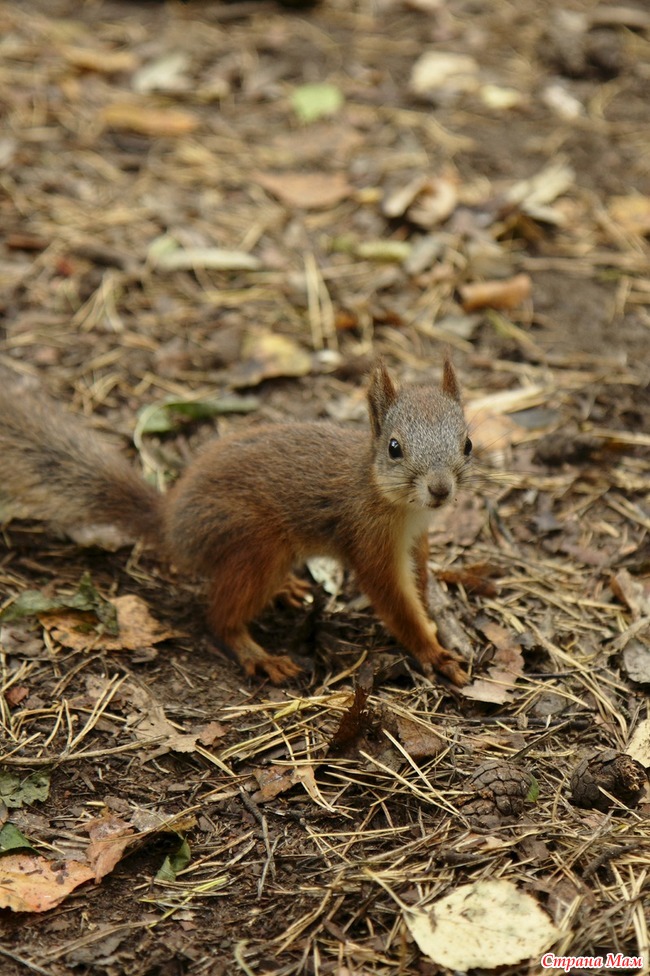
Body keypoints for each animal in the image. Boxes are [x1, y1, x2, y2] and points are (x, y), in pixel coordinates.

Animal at [0, 358, 470, 688]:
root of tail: (171, 526)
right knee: (219, 619)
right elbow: (394, 600)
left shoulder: (417, 539)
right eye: (394, 448)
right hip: (255, 544)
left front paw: (432, 614)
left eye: (467, 443)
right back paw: (259, 656)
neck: (399, 505)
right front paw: (432, 650)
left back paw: (288, 590)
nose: (440, 490)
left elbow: (419, 579)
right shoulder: (368, 542)